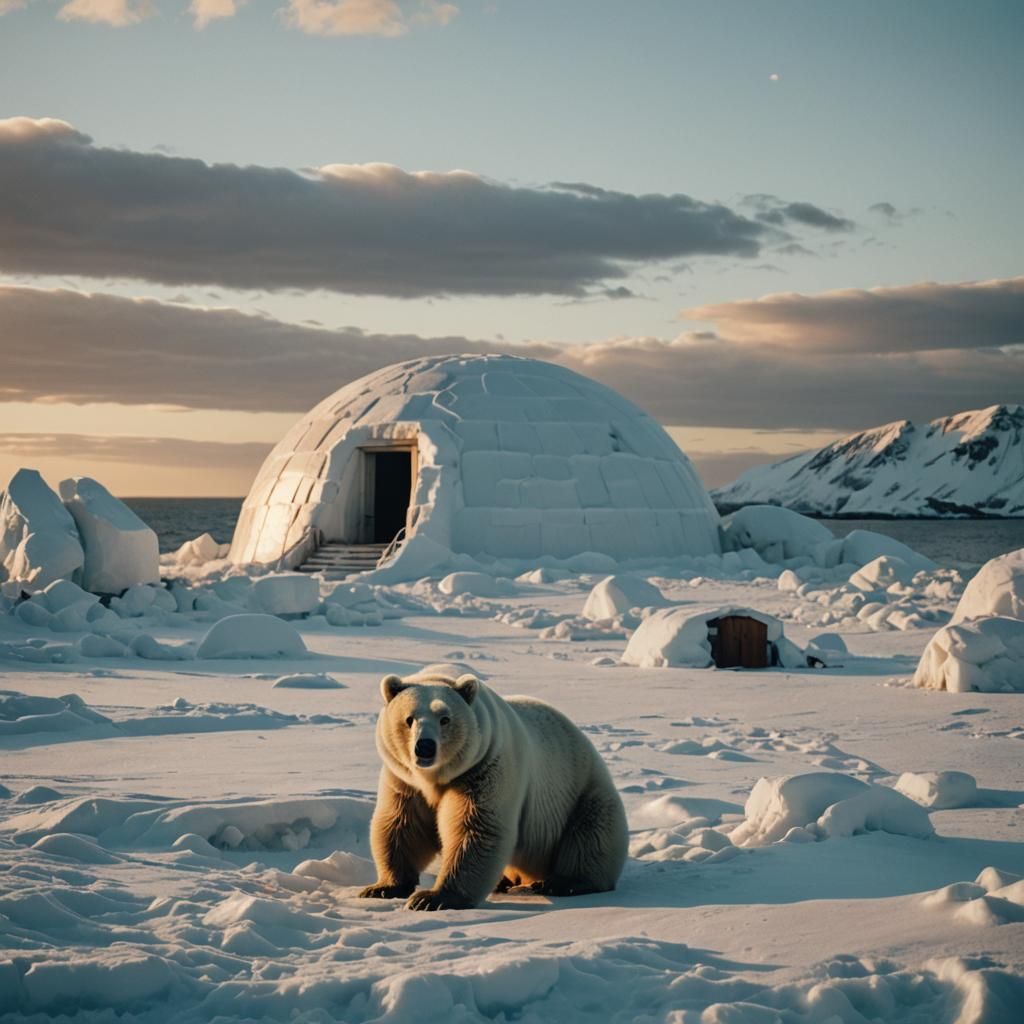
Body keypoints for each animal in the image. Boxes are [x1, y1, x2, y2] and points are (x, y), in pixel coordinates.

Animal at [358, 669, 628, 911]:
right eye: (409, 719)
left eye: (445, 719)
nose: (424, 747)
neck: (436, 778)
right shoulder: (404, 781)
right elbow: (402, 824)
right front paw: (381, 888)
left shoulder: (483, 769)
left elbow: (475, 828)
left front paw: (432, 898)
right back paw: (505, 881)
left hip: (579, 792)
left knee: (591, 835)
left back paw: (562, 882)